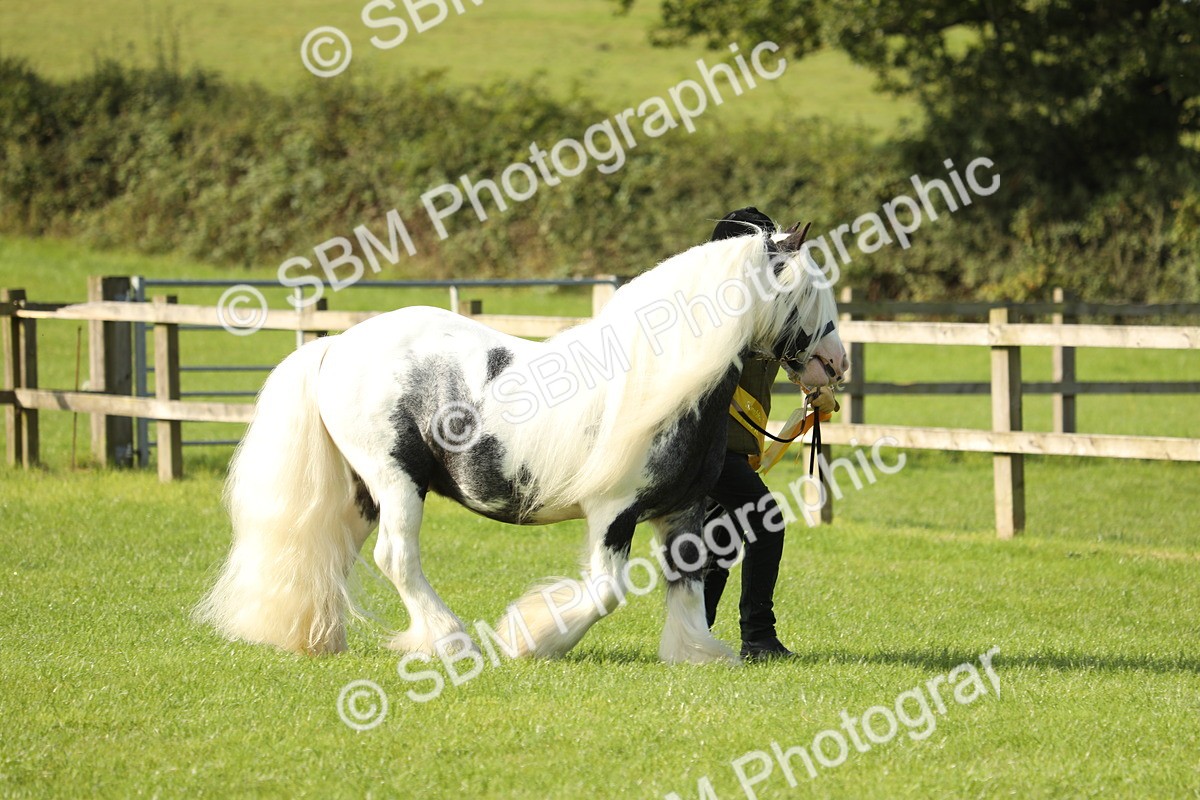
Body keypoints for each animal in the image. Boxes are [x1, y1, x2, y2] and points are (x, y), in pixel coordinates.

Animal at [195, 225, 848, 664]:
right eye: (801, 293)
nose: (835, 365)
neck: (660, 379)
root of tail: (335, 345)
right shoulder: (612, 513)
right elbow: (605, 592)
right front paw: (531, 640)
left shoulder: (683, 510)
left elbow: (687, 582)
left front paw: (695, 653)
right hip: (396, 480)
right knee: (396, 558)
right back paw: (450, 641)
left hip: (362, 491)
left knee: (334, 551)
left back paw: (318, 637)